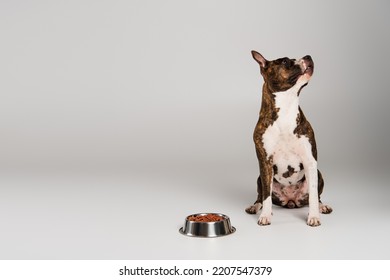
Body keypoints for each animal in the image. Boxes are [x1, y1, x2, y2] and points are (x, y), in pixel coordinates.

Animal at [247, 50, 332, 225]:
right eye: (285, 61)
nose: (308, 56)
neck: (287, 106)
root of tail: (291, 201)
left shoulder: (310, 160)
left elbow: (313, 195)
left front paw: (314, 216)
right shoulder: (265, 162)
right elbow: (266, 196)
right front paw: (265, 215)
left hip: (318, 173)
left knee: (317, 196)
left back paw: (322, 206)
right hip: (259, 178)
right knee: (261, 195)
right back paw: (255, 206)